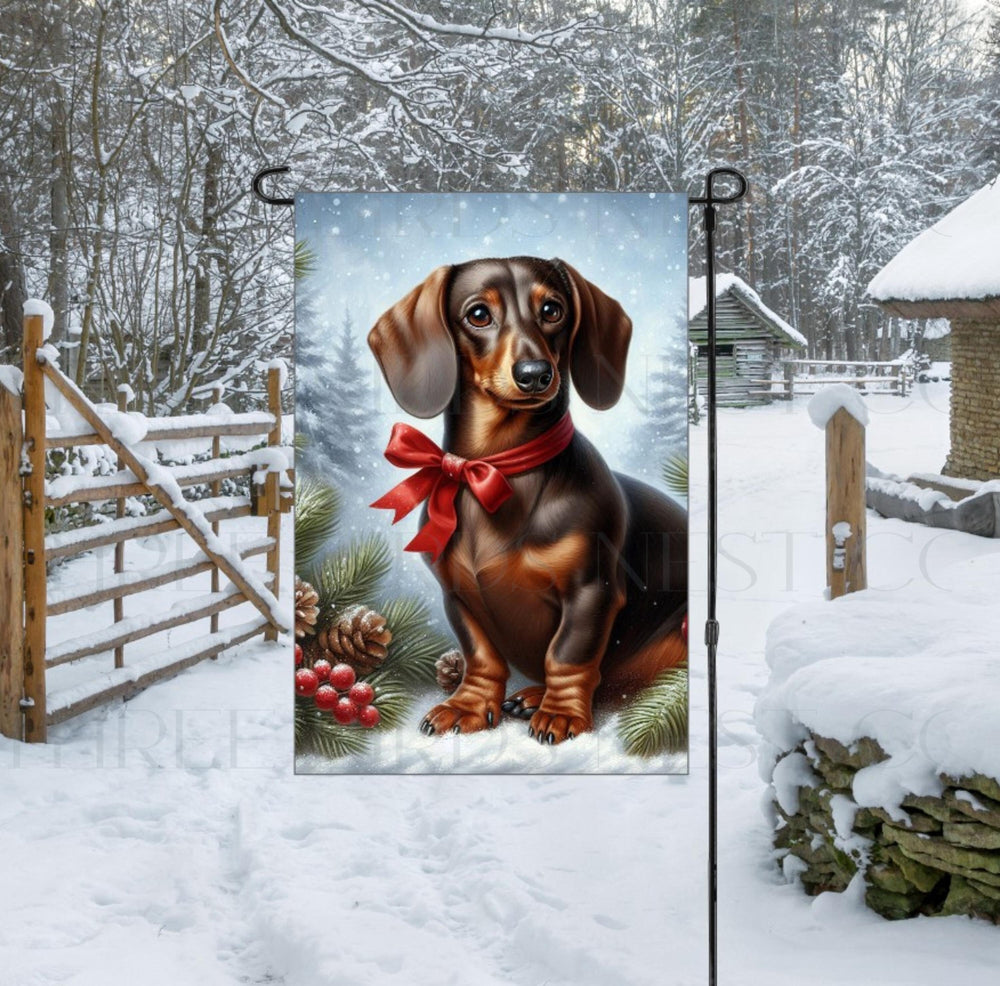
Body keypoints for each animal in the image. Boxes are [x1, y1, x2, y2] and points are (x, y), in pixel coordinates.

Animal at [368, 258, 688, 740]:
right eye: (478, 314)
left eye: (553, 310)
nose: (536, 374)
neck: (499, 468)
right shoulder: (457, 596)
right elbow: (481, 656)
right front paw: (468, 705)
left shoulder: (591, 591)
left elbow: (568, 653)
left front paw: (562, 712)